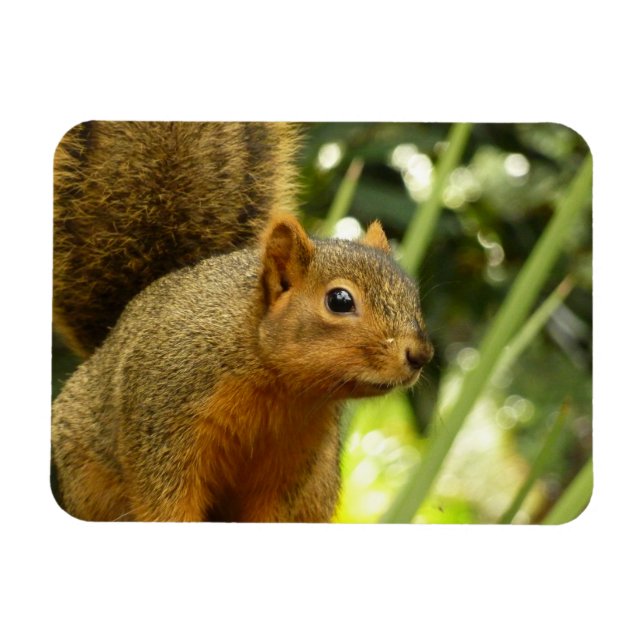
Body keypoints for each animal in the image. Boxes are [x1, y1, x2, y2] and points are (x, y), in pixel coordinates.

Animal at [51, 121, 433, 522]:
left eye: (412, 293)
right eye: (340, 301)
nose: (420, 355)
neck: (279, 386)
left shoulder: (294, 460)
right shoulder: (163, 419)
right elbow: (165, 501)